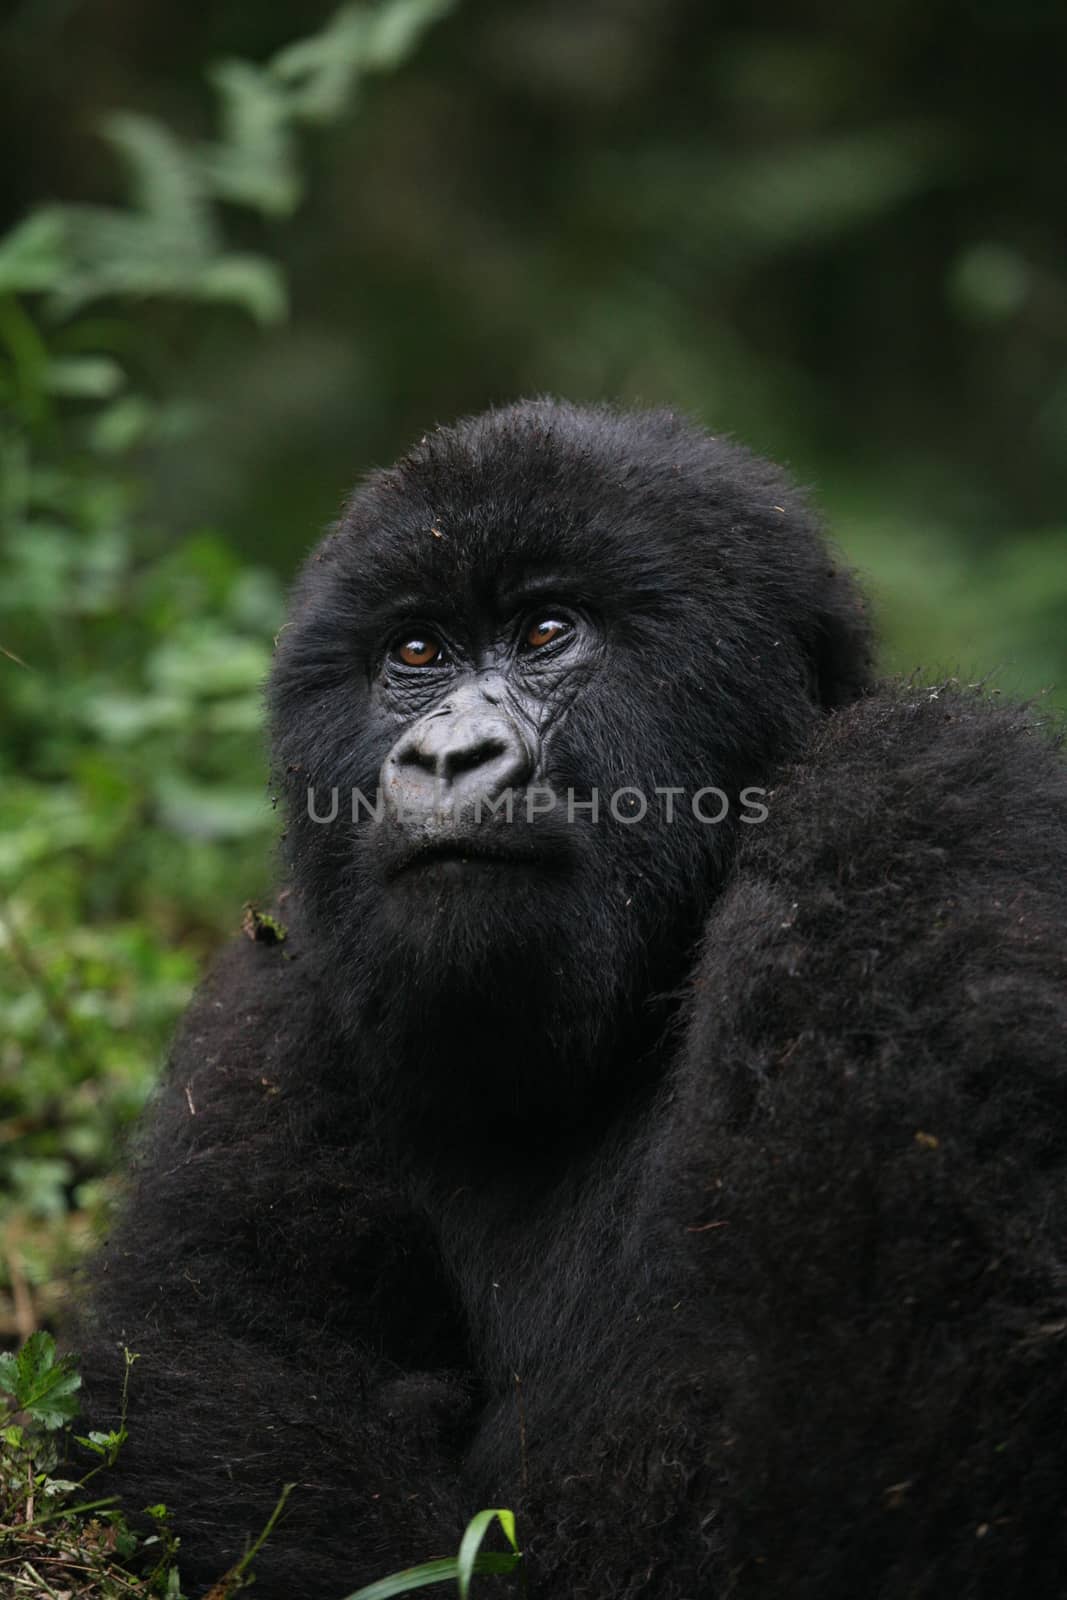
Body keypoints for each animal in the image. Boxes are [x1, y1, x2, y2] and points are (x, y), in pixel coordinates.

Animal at [79, 400, 1067, 1600]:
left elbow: (913, 1389)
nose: (446, 756)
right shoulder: (286, 982)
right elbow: (216, 1359)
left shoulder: (914, 800)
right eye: (417, 652)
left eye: (548, 633)